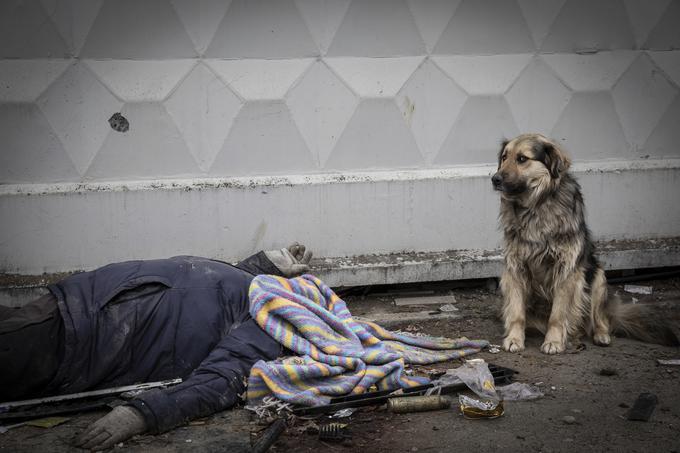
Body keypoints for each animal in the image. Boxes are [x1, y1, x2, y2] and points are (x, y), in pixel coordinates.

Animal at [492, 133, 676, 354]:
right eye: (504, 157)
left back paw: (601, 335)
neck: (536, 206)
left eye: (522, 159)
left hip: (597, 278)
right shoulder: (515, 268)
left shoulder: (567, 269)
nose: (495, 179)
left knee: (601, 317)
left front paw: (554, 341)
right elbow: (517, 311)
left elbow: (558, 314)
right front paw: (514, 338)